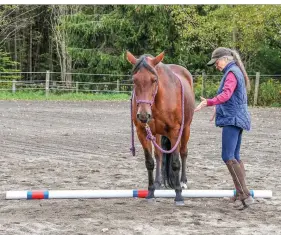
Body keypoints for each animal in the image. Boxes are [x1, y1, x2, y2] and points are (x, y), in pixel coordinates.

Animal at [126, 50, 194, 205]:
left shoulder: (175, 132)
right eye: (134, 80)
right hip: (156, 133)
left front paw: (178, 195)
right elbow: (150, 162)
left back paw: (182, 182)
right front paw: (151, 191)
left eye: (154, 80)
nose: (143, 115)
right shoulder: (142, 132)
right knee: (159, 155)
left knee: (183, 152)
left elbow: (175, 162)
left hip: (186, 129)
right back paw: (159, 182)